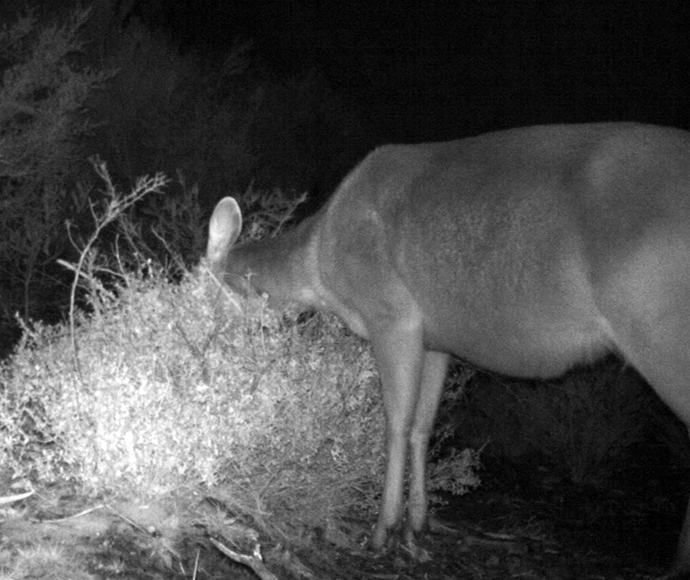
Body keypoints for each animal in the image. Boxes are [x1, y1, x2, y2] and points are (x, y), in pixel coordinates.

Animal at [207, 122, 688, 572]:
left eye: (195, 283)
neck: (319, 264)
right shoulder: (436, 340)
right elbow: (424, 425)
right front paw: (416, 528)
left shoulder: (392, 315)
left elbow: (396, 424)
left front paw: (382, 532)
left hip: (658, 325)